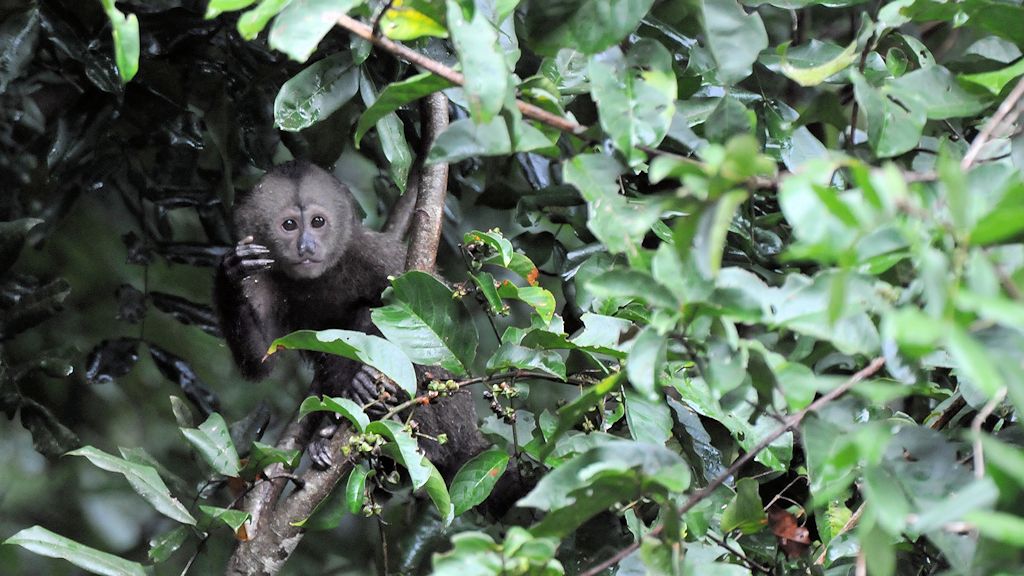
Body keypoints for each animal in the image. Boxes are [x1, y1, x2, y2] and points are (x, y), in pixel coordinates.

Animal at [213, 160, 489, 477]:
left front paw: (368, 379)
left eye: (318, 222)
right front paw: (230, 274)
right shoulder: (263, 279)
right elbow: (261, 359)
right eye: (289, 225)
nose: (306, 247)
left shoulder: (378, 255)